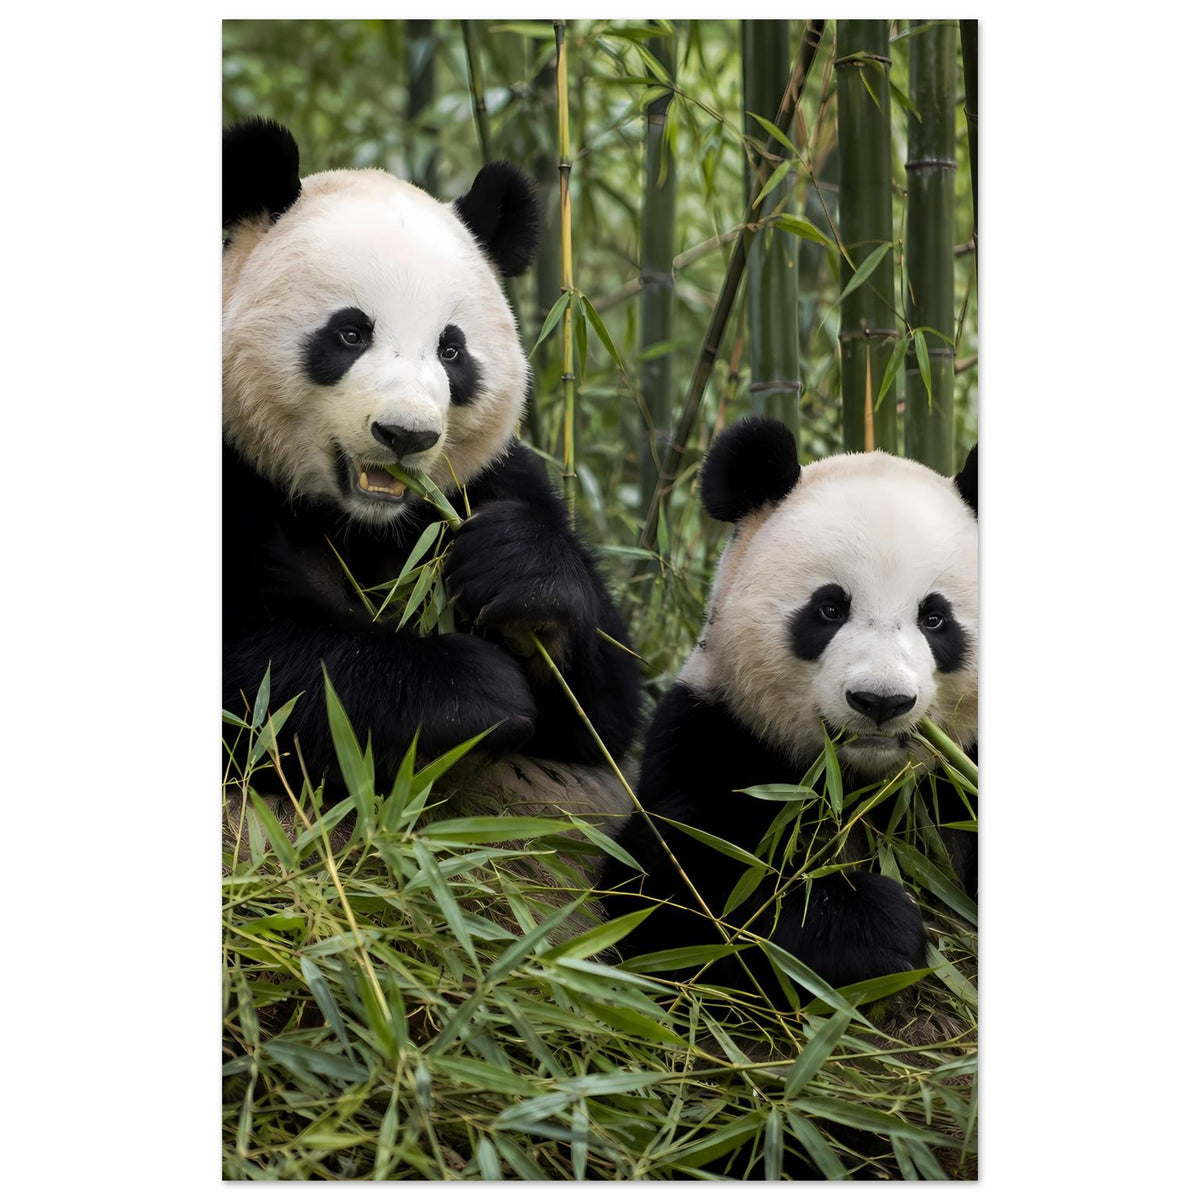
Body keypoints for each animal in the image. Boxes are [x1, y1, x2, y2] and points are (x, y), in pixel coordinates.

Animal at [222, 117, 641, 852]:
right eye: (350, 333)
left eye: (451, 349)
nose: (405, 434)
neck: (357, 522)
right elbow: (263, 681)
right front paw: (476, 688)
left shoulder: (489, 480)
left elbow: (604, 718)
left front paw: (519, 575)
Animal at [601, 416, 977, 1002]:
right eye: (829, 609)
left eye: (935, 619)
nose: (881, 701)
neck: (860, 786)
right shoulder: (716, 734)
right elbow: (685, 890)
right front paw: (874, 928)